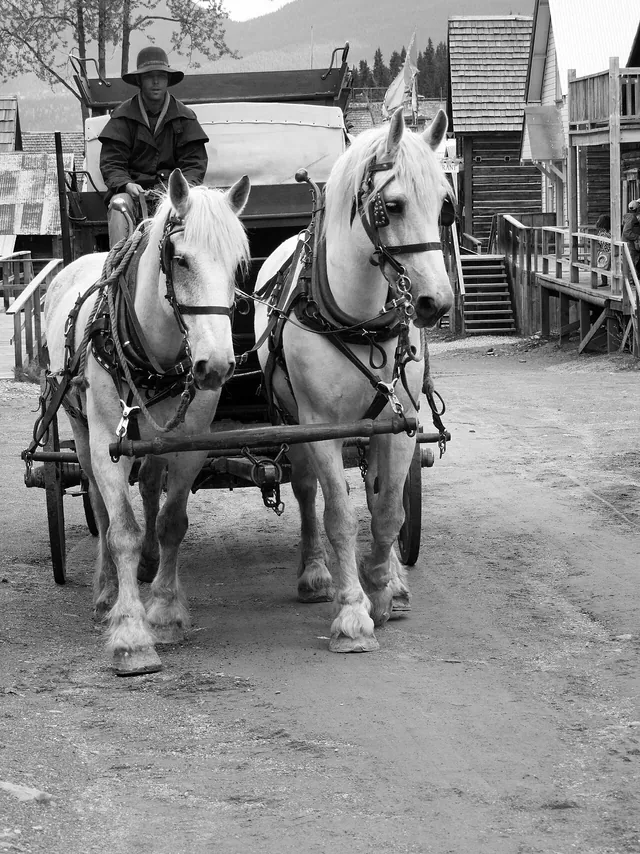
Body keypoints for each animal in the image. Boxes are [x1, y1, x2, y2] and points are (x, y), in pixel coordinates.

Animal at [44, 169, 251, 675]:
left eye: (238, 263)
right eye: (180, 259)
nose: (216, 365)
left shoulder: (192, 439)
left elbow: (171, 520)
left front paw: (165, 611)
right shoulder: (106, 440)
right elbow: (121, 530)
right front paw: (131, 634)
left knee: (151, 485)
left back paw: (149, 566)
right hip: (80, 430)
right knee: (98, 502)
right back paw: (105, 594)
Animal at [253, 107, 453, 653]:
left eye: (446, 205)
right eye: (392, 205)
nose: (436, 302)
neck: (359, 321)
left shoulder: (402, 424)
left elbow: (387, 512)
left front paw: (382, 592)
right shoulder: (320, 427)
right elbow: (338, 517)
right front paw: (351, 613)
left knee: (378, 490)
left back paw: (394, 584)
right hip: (296, 424)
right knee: (306, 492)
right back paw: (316, 575)